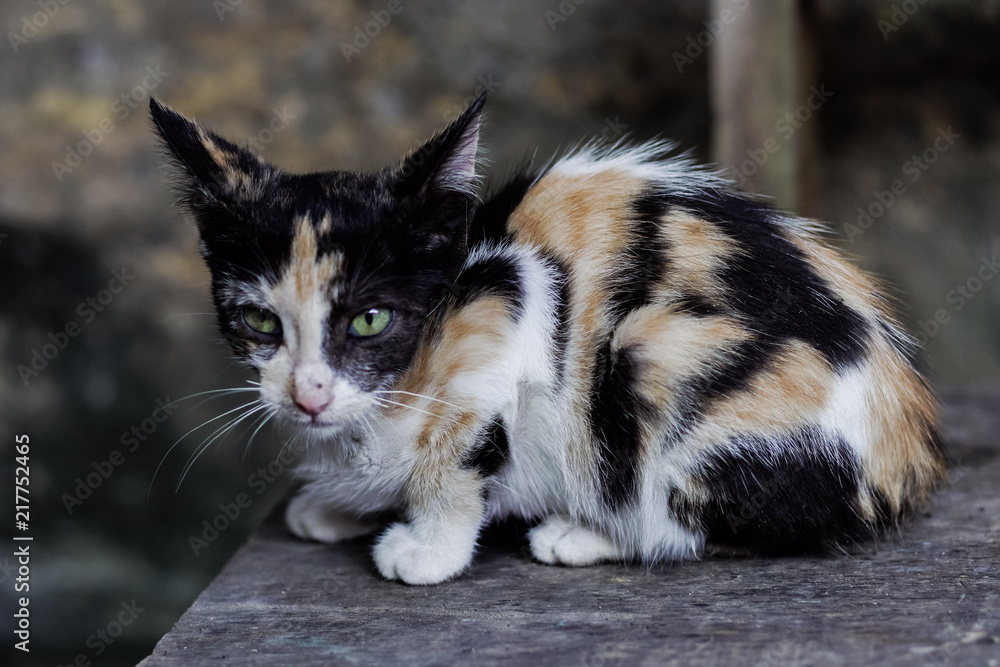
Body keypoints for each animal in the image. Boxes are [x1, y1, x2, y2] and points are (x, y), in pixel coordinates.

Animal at [148, 94, 944, 584]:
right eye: (259, 321)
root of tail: (904, 454)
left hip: (650, 353)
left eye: (370, 319)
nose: (308, 394)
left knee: (694, 517)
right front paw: (337, 504)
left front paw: (427, 547)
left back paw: (583, 532)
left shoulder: (508, 296)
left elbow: (456, 459)